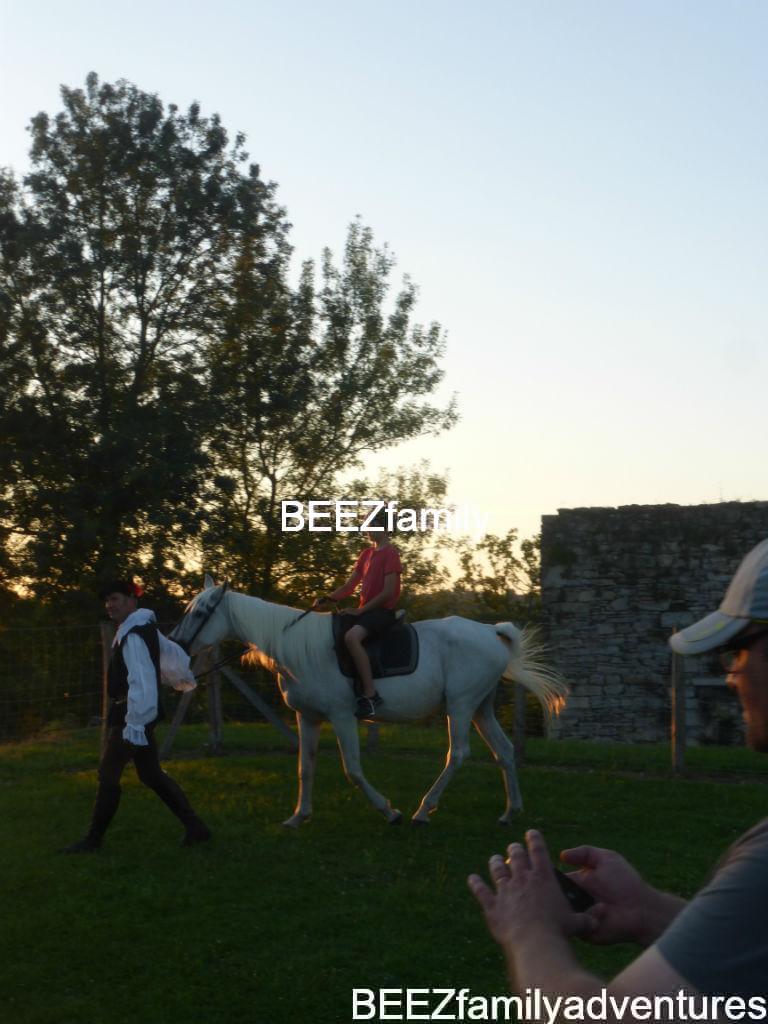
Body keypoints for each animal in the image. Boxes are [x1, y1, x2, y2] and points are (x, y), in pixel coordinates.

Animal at [170, 576, 568, 826]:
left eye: (201, 612)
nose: (176, 643)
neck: (301, 650)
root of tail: (490, 632)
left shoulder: (342, 716)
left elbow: (353, 770)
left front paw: (388, 812)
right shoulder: (307, 718)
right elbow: (305, 767)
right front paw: (298, 816)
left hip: (461, 705)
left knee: (458, 754)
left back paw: (422, 811)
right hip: (481, 707)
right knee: (504, 751)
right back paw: (510, 812)